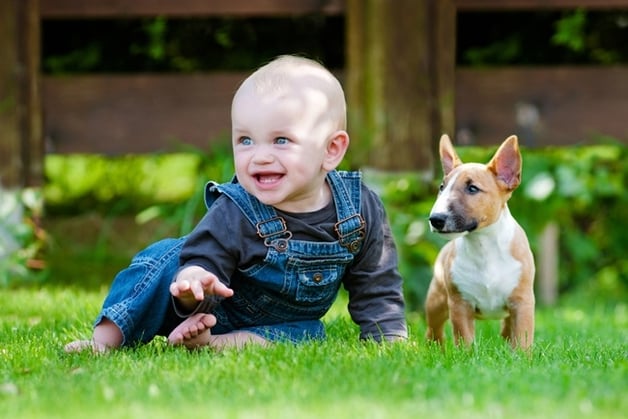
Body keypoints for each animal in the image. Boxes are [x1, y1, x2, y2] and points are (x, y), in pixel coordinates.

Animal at [424, 135, 532, 352]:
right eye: (442, 187)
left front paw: (522, 356)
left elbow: (523, 338)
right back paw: (435, 349)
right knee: (434, 329)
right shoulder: (459, 304)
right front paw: (466, 356)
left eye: (472, 188)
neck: (483, 244)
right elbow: (464, 338)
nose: (436, 219)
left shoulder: (522, 301)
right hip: (436, 301)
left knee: (507, 328)